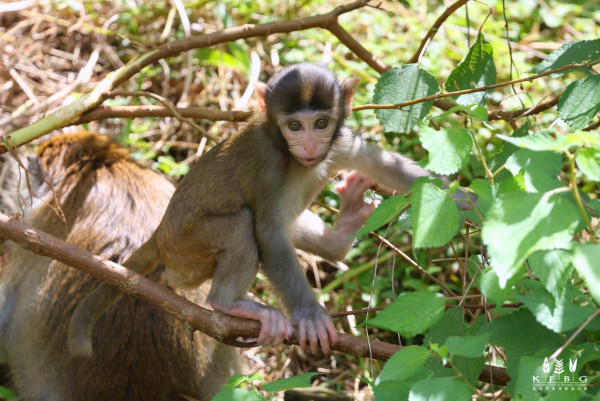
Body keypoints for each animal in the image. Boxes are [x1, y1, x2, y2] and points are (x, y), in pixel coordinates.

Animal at [69, 62, 432, 356]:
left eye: (321, 123)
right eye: (294, 126)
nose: (310, 146)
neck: (289, 154)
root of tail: (160, 236)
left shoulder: (341, 142)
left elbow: (389, 168)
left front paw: (446, 193)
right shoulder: (268, 163)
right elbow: (268, 232)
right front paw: (310, 315)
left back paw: (338, 240)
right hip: (186, 256)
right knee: (243, 223)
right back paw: (228, 303)